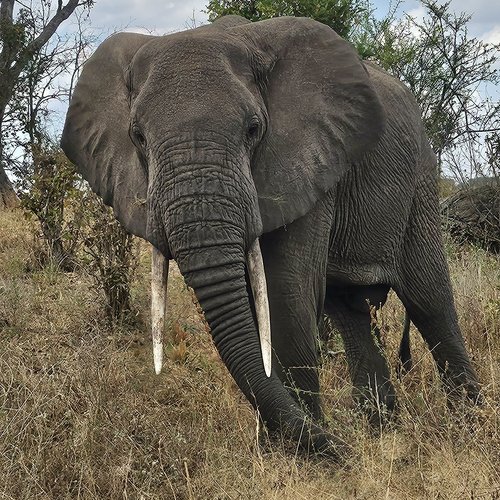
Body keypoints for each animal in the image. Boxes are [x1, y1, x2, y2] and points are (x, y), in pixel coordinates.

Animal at [62, 13, 480, 458]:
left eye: (253, 129)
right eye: (138, 137)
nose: (343, 450)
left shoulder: (307, 160)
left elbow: (285, 294)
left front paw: (302, 455)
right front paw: (279, 448)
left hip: (420, 178)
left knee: (428, 299)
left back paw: (467, 426)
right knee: (351, 312)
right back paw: (381, 431)